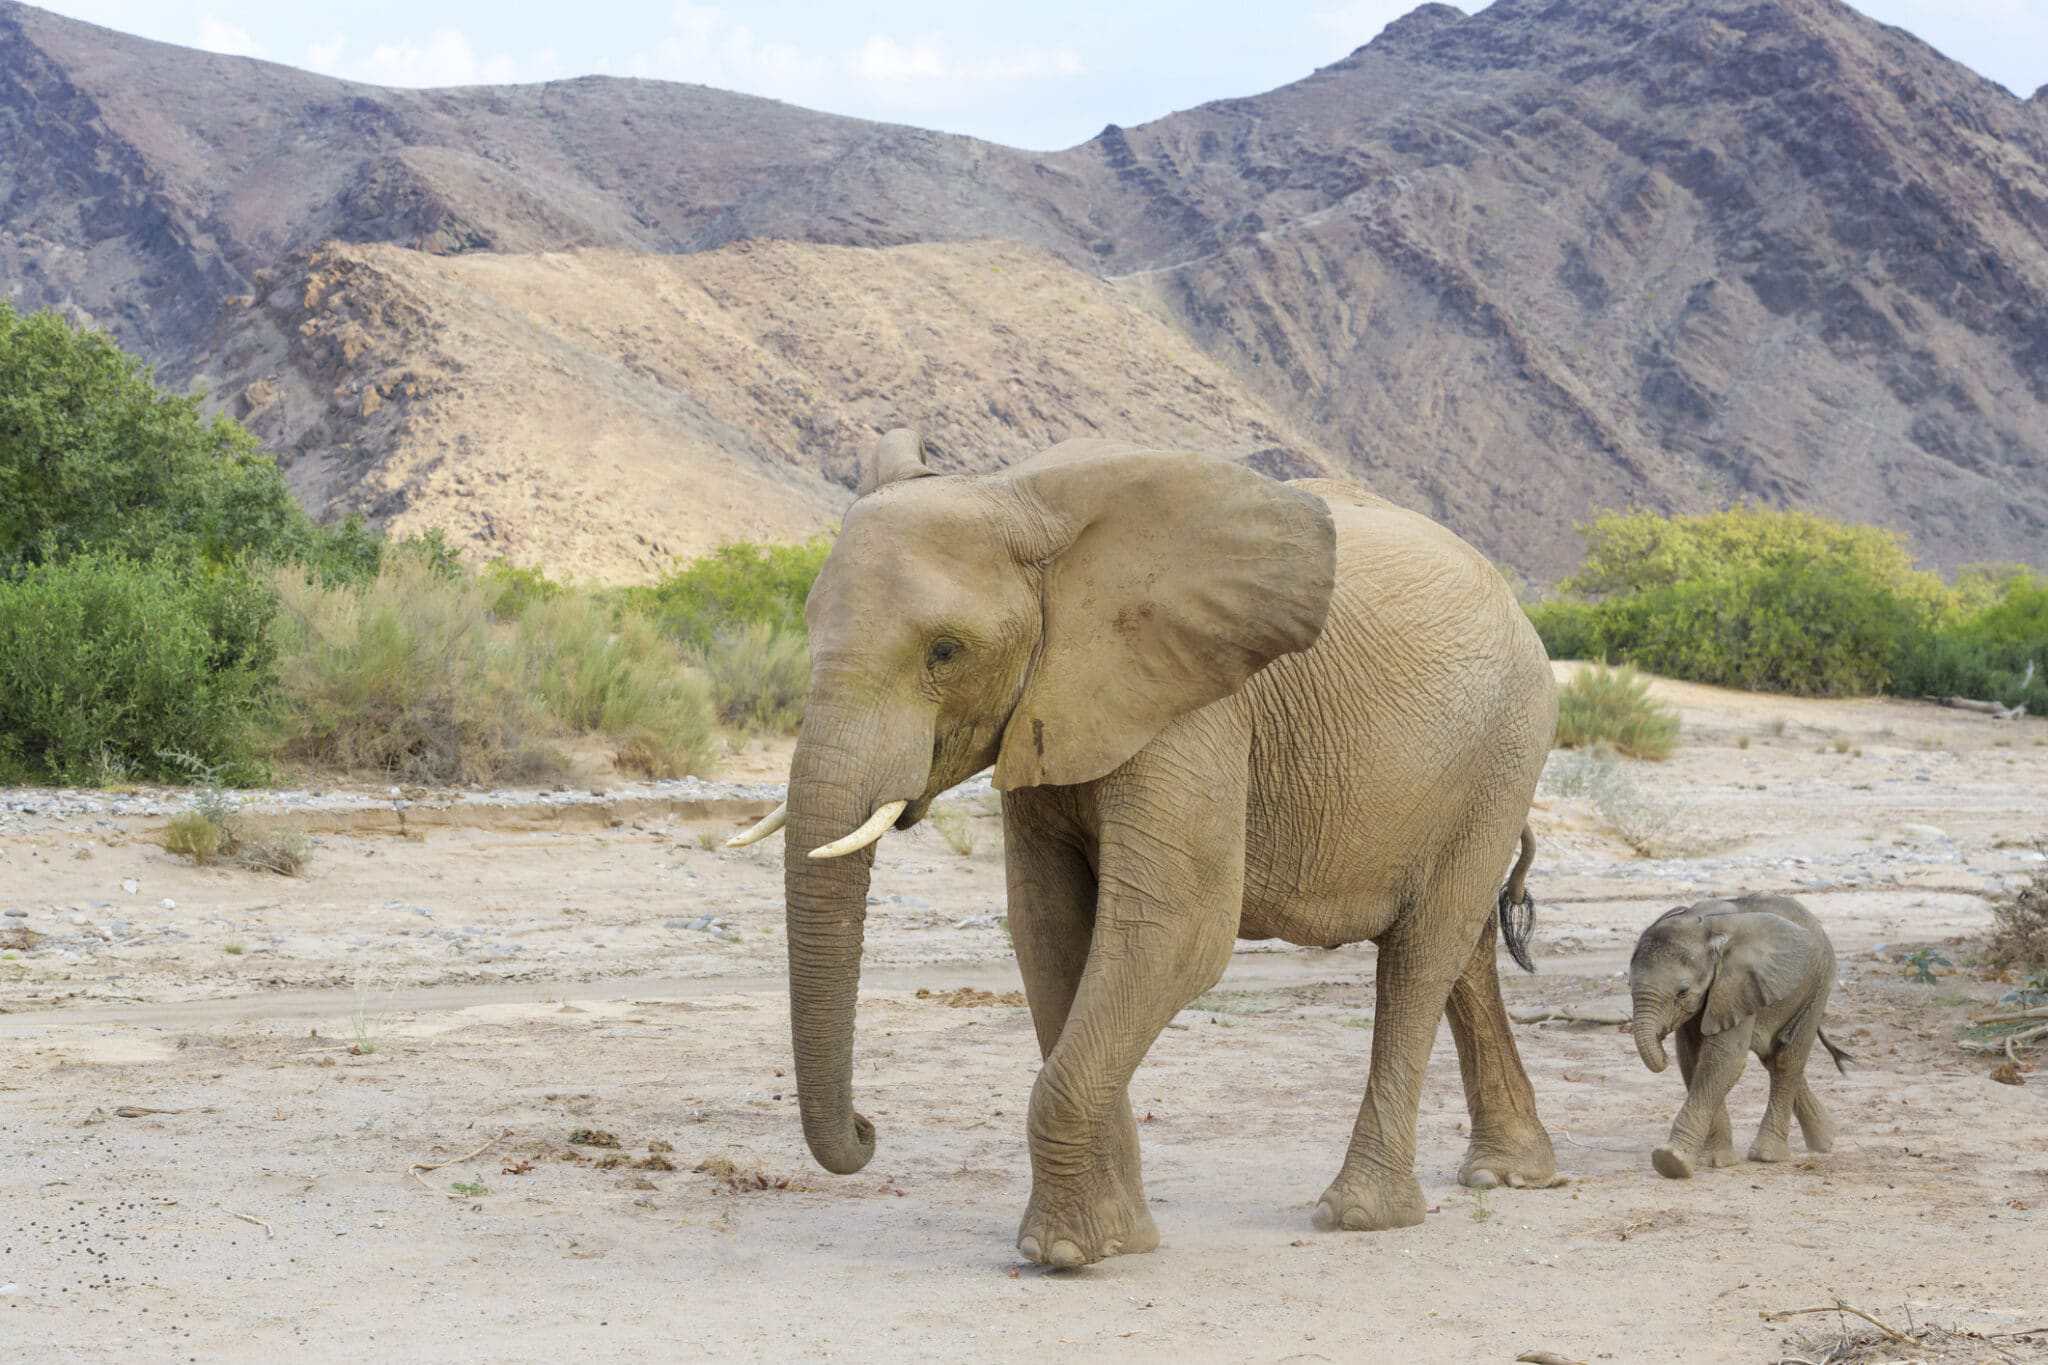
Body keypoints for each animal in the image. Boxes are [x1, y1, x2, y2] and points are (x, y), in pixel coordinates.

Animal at [730, 429, 1563, 1268]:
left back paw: (1361, 1214)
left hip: (1505, 746)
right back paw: (1509, 1174)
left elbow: (1175, 932)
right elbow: (1050, 934)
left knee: (1423, 950)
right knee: (1462, 949)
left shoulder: (1194, 705)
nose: (868, 1129)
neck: (1020, 501)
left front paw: (1064, 1253)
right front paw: (1116, 1239)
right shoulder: (1053, 708)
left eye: (944, 651)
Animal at [1628, 895, 1852, 1179]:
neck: (1704, 931)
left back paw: (1768, 1156)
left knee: (1786, 1060)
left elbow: (1724, 1060)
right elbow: (1693, 1060)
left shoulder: (1736, 986)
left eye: (1682, 992)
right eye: (1629, 986)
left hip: (1818, 985)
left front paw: (1671, 1162)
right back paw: (1826, 1141)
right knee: (1773, 1058)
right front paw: (1716, 1161)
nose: (1661, 1049)